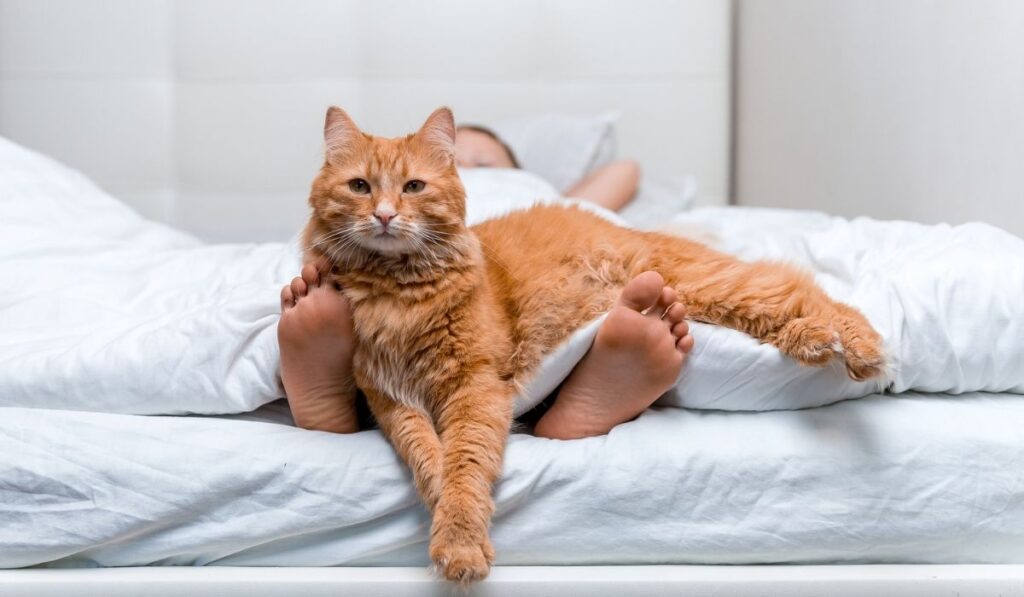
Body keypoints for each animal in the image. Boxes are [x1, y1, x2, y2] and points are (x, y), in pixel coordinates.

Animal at [299, 107, 884, 585]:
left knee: (800, 288)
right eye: (360, 186)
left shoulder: (476, 385)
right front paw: (447, 510)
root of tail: (625, 230)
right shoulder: (390, 398)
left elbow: (466, 461)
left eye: (414, 186)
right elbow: (428, 458)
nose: (384, 214)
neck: (398, 294)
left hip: (705, 284)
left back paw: (860, 348)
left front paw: (460, 539)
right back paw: (809, 343)